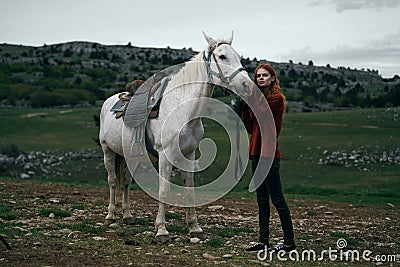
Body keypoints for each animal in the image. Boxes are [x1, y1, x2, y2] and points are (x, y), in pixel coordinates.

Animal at [98, 31, 252, 243]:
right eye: (222, 56)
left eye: (238, 56)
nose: (247, 85)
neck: (183, 110)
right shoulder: (166, 155)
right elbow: (164, 190)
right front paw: (162, 230)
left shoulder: (189, 154)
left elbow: (190, 189)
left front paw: (194, 227)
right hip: (108, 151)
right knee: (113, 181)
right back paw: (110, 215)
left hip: (131, 156)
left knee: (127, 181)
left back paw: (127, 216)